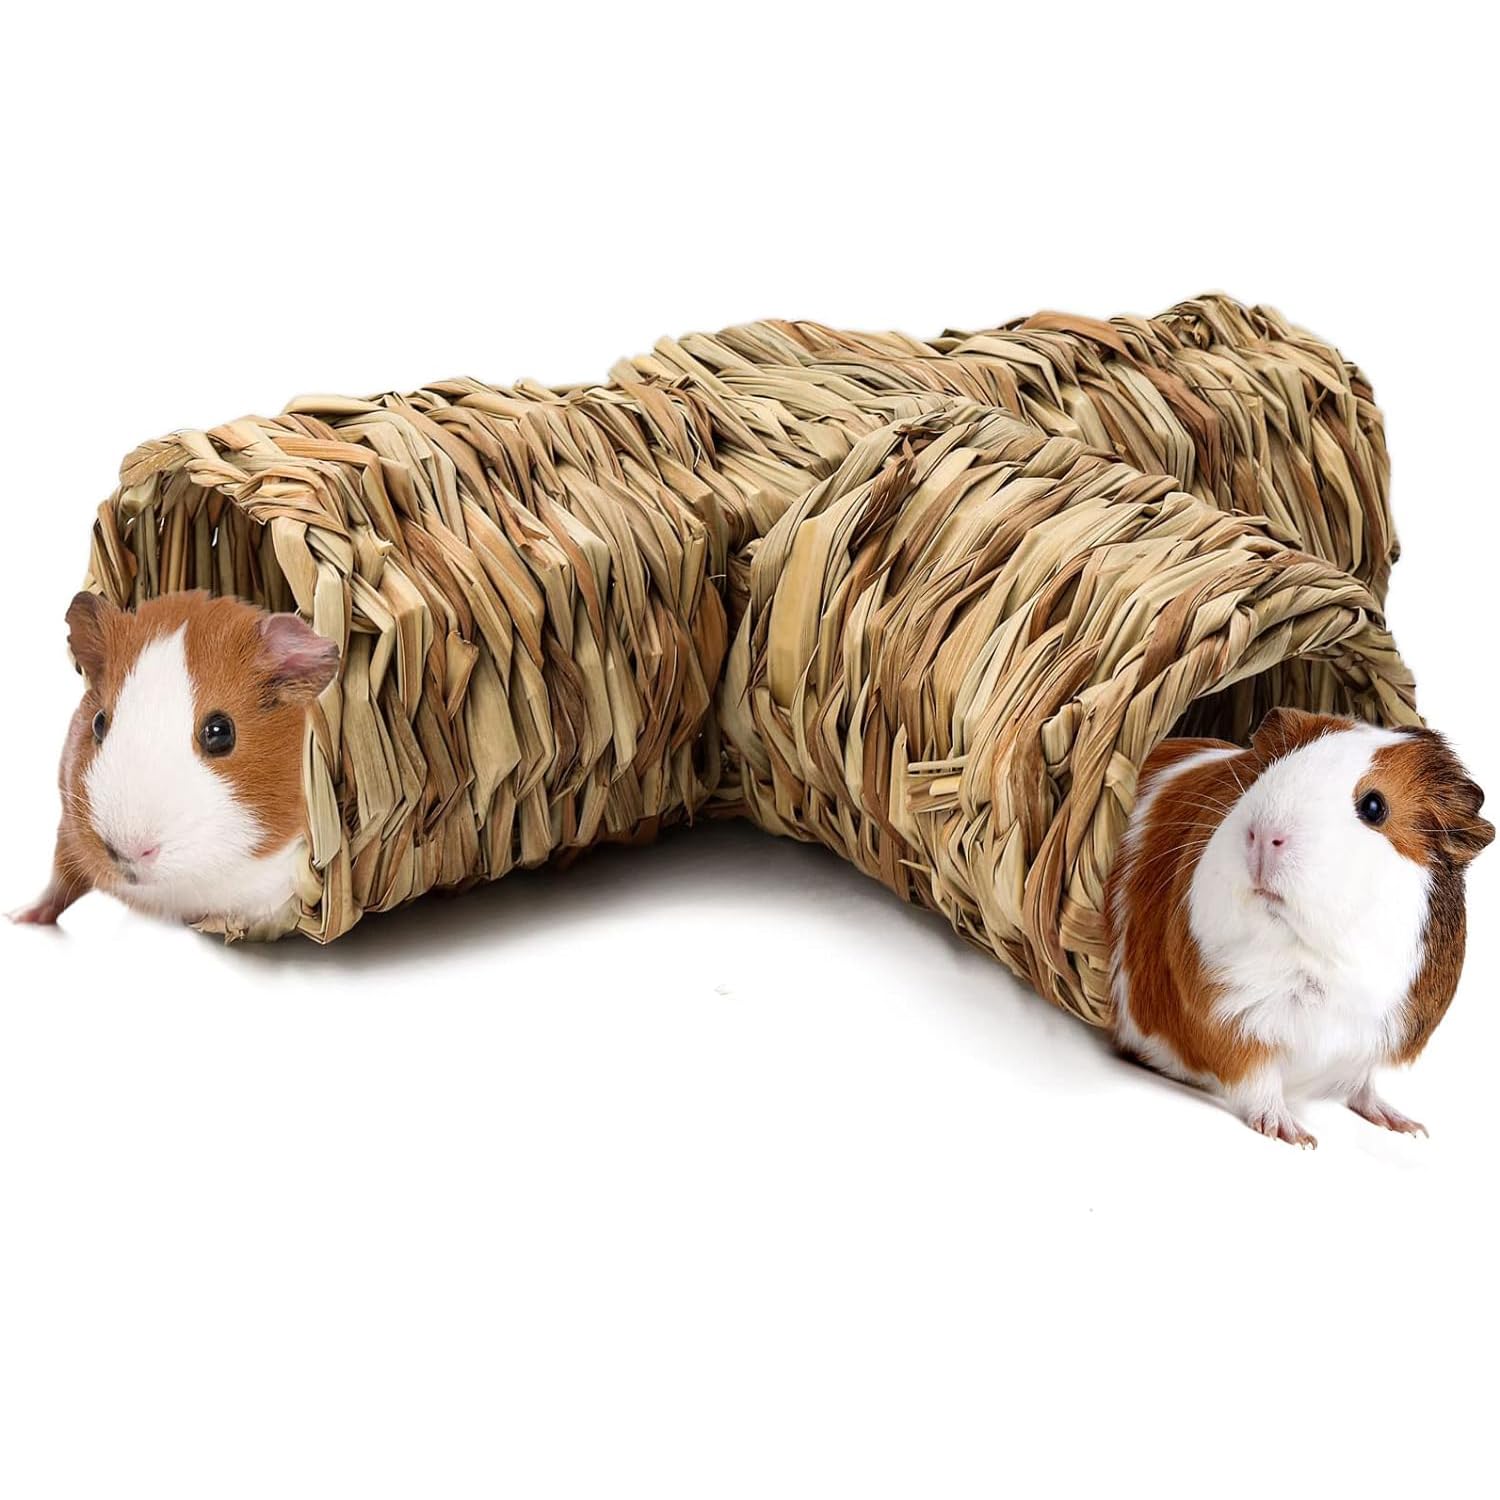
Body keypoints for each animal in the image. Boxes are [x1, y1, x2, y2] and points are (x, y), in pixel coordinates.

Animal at [12, 590, 339, 931]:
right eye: (99, 722)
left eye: (220, 732)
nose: (127, 851)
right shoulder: (68, 832)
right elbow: (59, 880)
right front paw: (20, 917)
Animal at [1107, 708, 1493, 1146]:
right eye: (1266, 772)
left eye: (1374, 806)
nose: (1263, 836)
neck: (1313, 955)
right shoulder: (1230, 1020)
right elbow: (1257, 1081)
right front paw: (1296, 1137)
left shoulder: (1372, 1034)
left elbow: (1364, 1084)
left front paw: (1408, 1128)